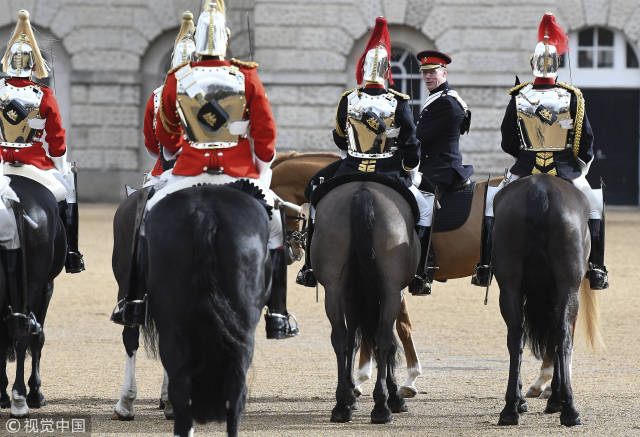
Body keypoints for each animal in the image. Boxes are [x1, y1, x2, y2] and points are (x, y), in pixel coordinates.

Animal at [0, 174, 65, 416]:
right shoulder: (47, 286)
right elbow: (38, 337)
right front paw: (35, 392)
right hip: (35, 285)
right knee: (23, 332)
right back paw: (20, 398)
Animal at [312, 181, 420, 422]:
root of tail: (363, 191)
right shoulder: (394, 291)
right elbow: (388, 339)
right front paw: (393, 396)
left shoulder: (350, 293)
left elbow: (352, 339)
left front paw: (350, 394)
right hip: (389, 289)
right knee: (384, 338)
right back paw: (382, 407)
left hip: (334, 288)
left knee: (340, 338)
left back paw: (341, 406)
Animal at [492, 174, 596, 426]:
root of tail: (539, 190)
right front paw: (555, 398)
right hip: (568, 288)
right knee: (562, 336)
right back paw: (568, 409)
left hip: (509, 288)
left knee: (516, 337)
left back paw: (510, 408)